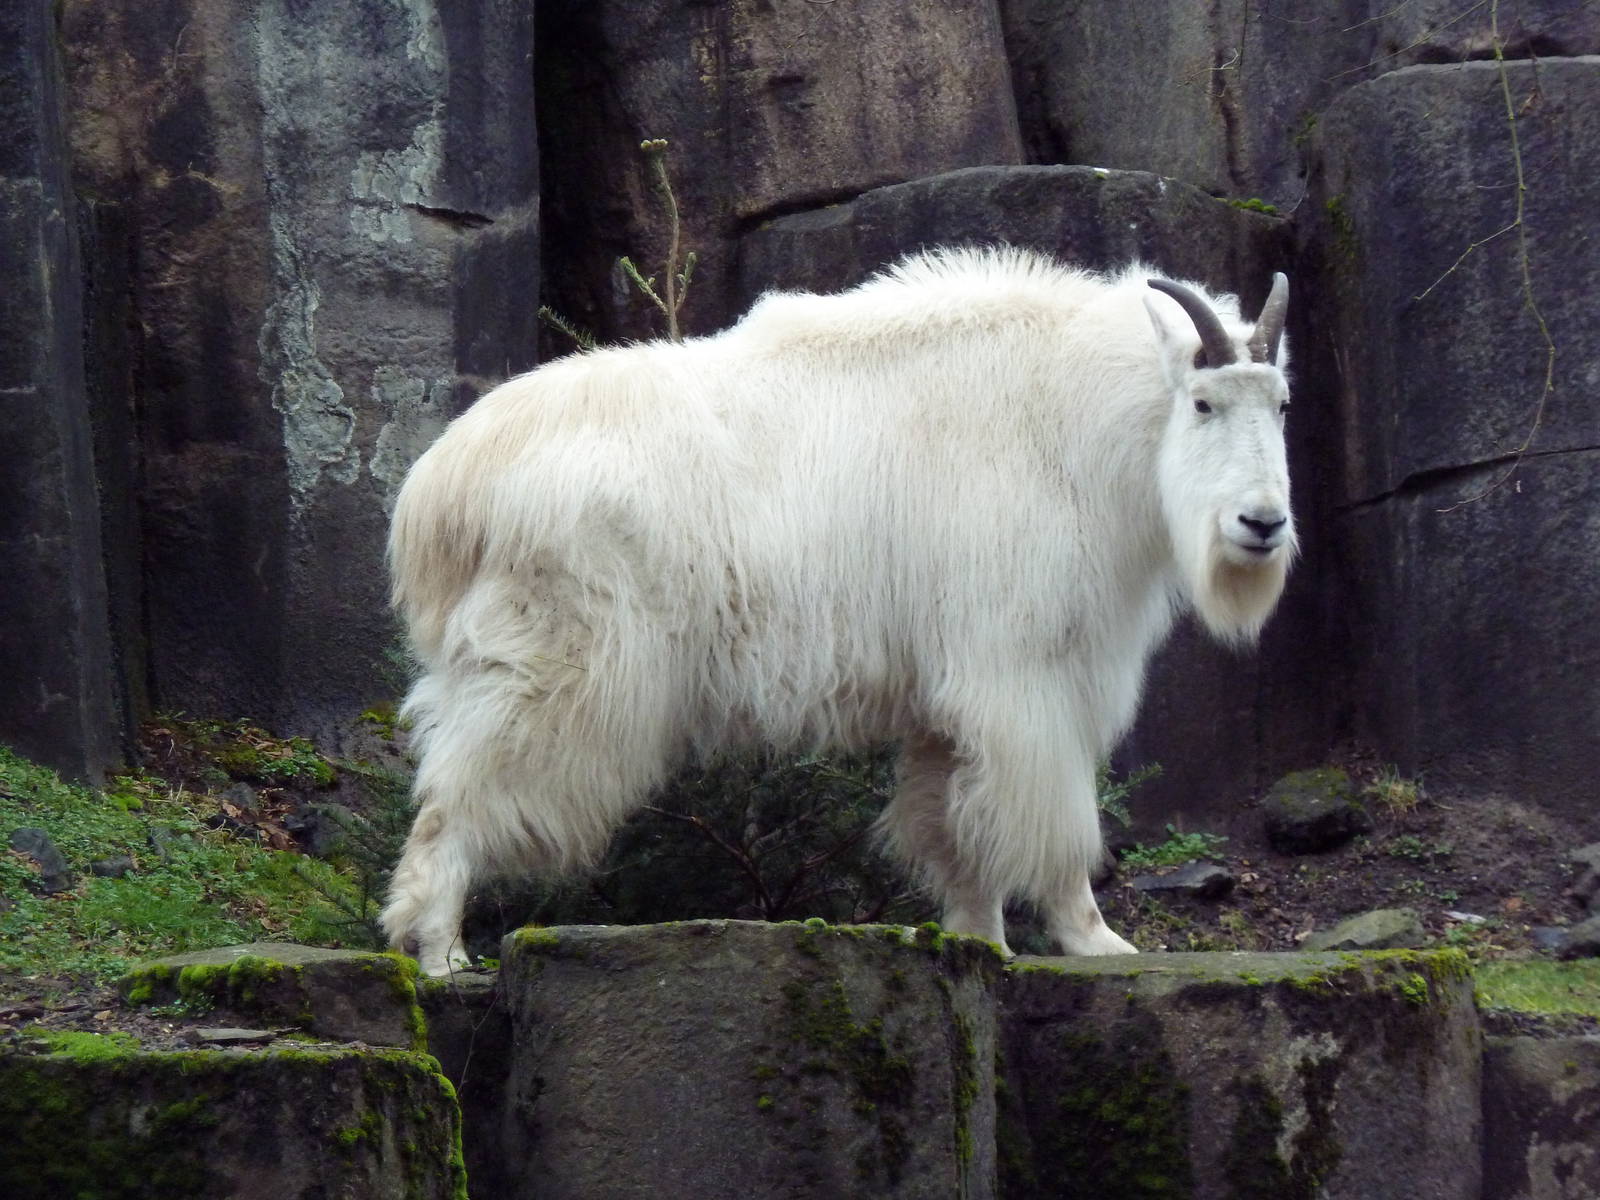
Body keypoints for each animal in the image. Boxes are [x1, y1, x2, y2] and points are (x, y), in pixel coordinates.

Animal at [380, 246, 1294, 975]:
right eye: (1204, 402)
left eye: (1281, 404)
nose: (1262, 524)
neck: (1068, 421)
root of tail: (442, 493)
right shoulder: (1022, 672)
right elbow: (1050, 816)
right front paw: (1093, 938)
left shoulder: (949, 694)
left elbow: (950, 821)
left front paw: (978, 941)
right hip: (562, 664)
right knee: (461, 796)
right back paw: (444, 953)